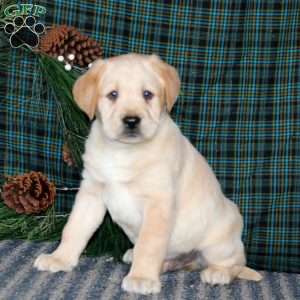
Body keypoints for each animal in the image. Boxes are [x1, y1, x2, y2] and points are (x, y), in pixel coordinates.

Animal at [34, 52, 262, 294]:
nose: (131, 121)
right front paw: (59, 258)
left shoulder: (158, 203)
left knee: (236, 263)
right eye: (113, 95)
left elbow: (149, 245)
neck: (124, 151)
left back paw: (218, 273)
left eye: (147, 94)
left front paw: (141, 277)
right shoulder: (91, 193)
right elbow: (74, 228)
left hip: (220, 242)